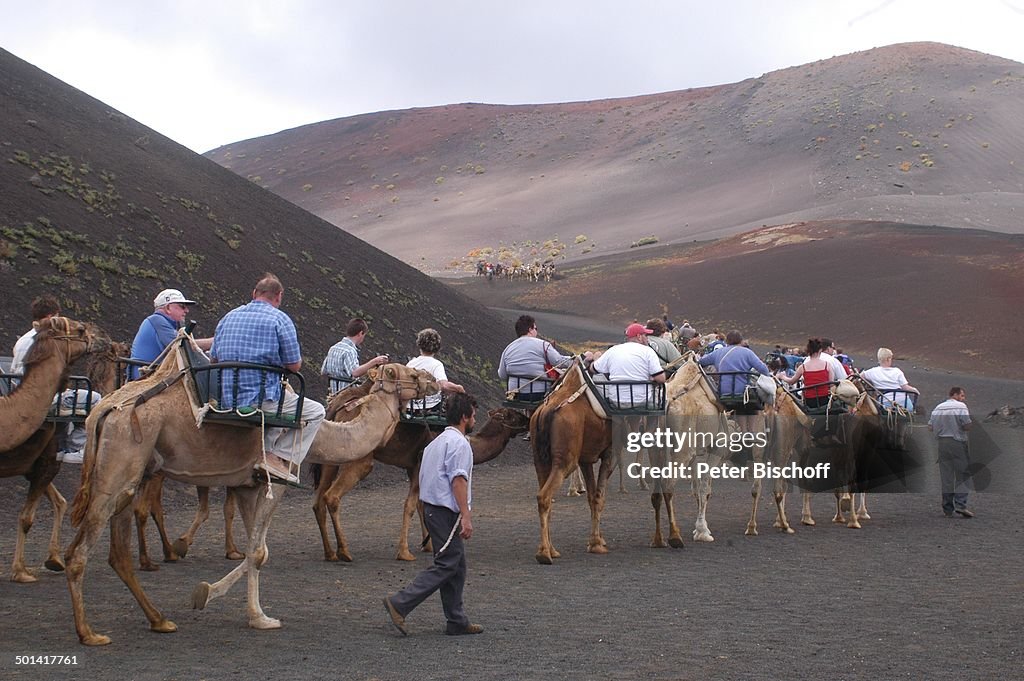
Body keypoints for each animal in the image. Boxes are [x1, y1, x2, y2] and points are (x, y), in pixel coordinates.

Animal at [0, 315, 110, 581]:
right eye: (79, 329)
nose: (103, 337)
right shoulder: (46, 464)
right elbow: (27, 517)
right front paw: (21, 572)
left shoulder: (39, 466)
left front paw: (45, 562)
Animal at [65, 342, 436, 647]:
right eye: (408, 372)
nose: (432, 380)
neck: (322, 435)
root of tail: (103, 411)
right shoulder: (277, 481)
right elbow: (258, 552)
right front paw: (240, 609)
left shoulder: (247, 485)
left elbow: (256, 552)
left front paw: (239, 608)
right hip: (118, 470)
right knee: (81, 551)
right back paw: (89, 632)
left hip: (134, 475)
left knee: (118, 552)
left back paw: (159, 619)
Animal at [311, 401, 532, 561]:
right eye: (512, 414)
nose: (528, 419)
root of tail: (337, 409)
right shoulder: (419, 463)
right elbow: (410, 505)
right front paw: (404, 552)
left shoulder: (413, 468)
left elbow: (422, 503)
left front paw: (429, 544)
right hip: (360, 457)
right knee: (332, 496)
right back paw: (344, 551)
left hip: (331, 456)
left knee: (318, 501)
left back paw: (330, 553)